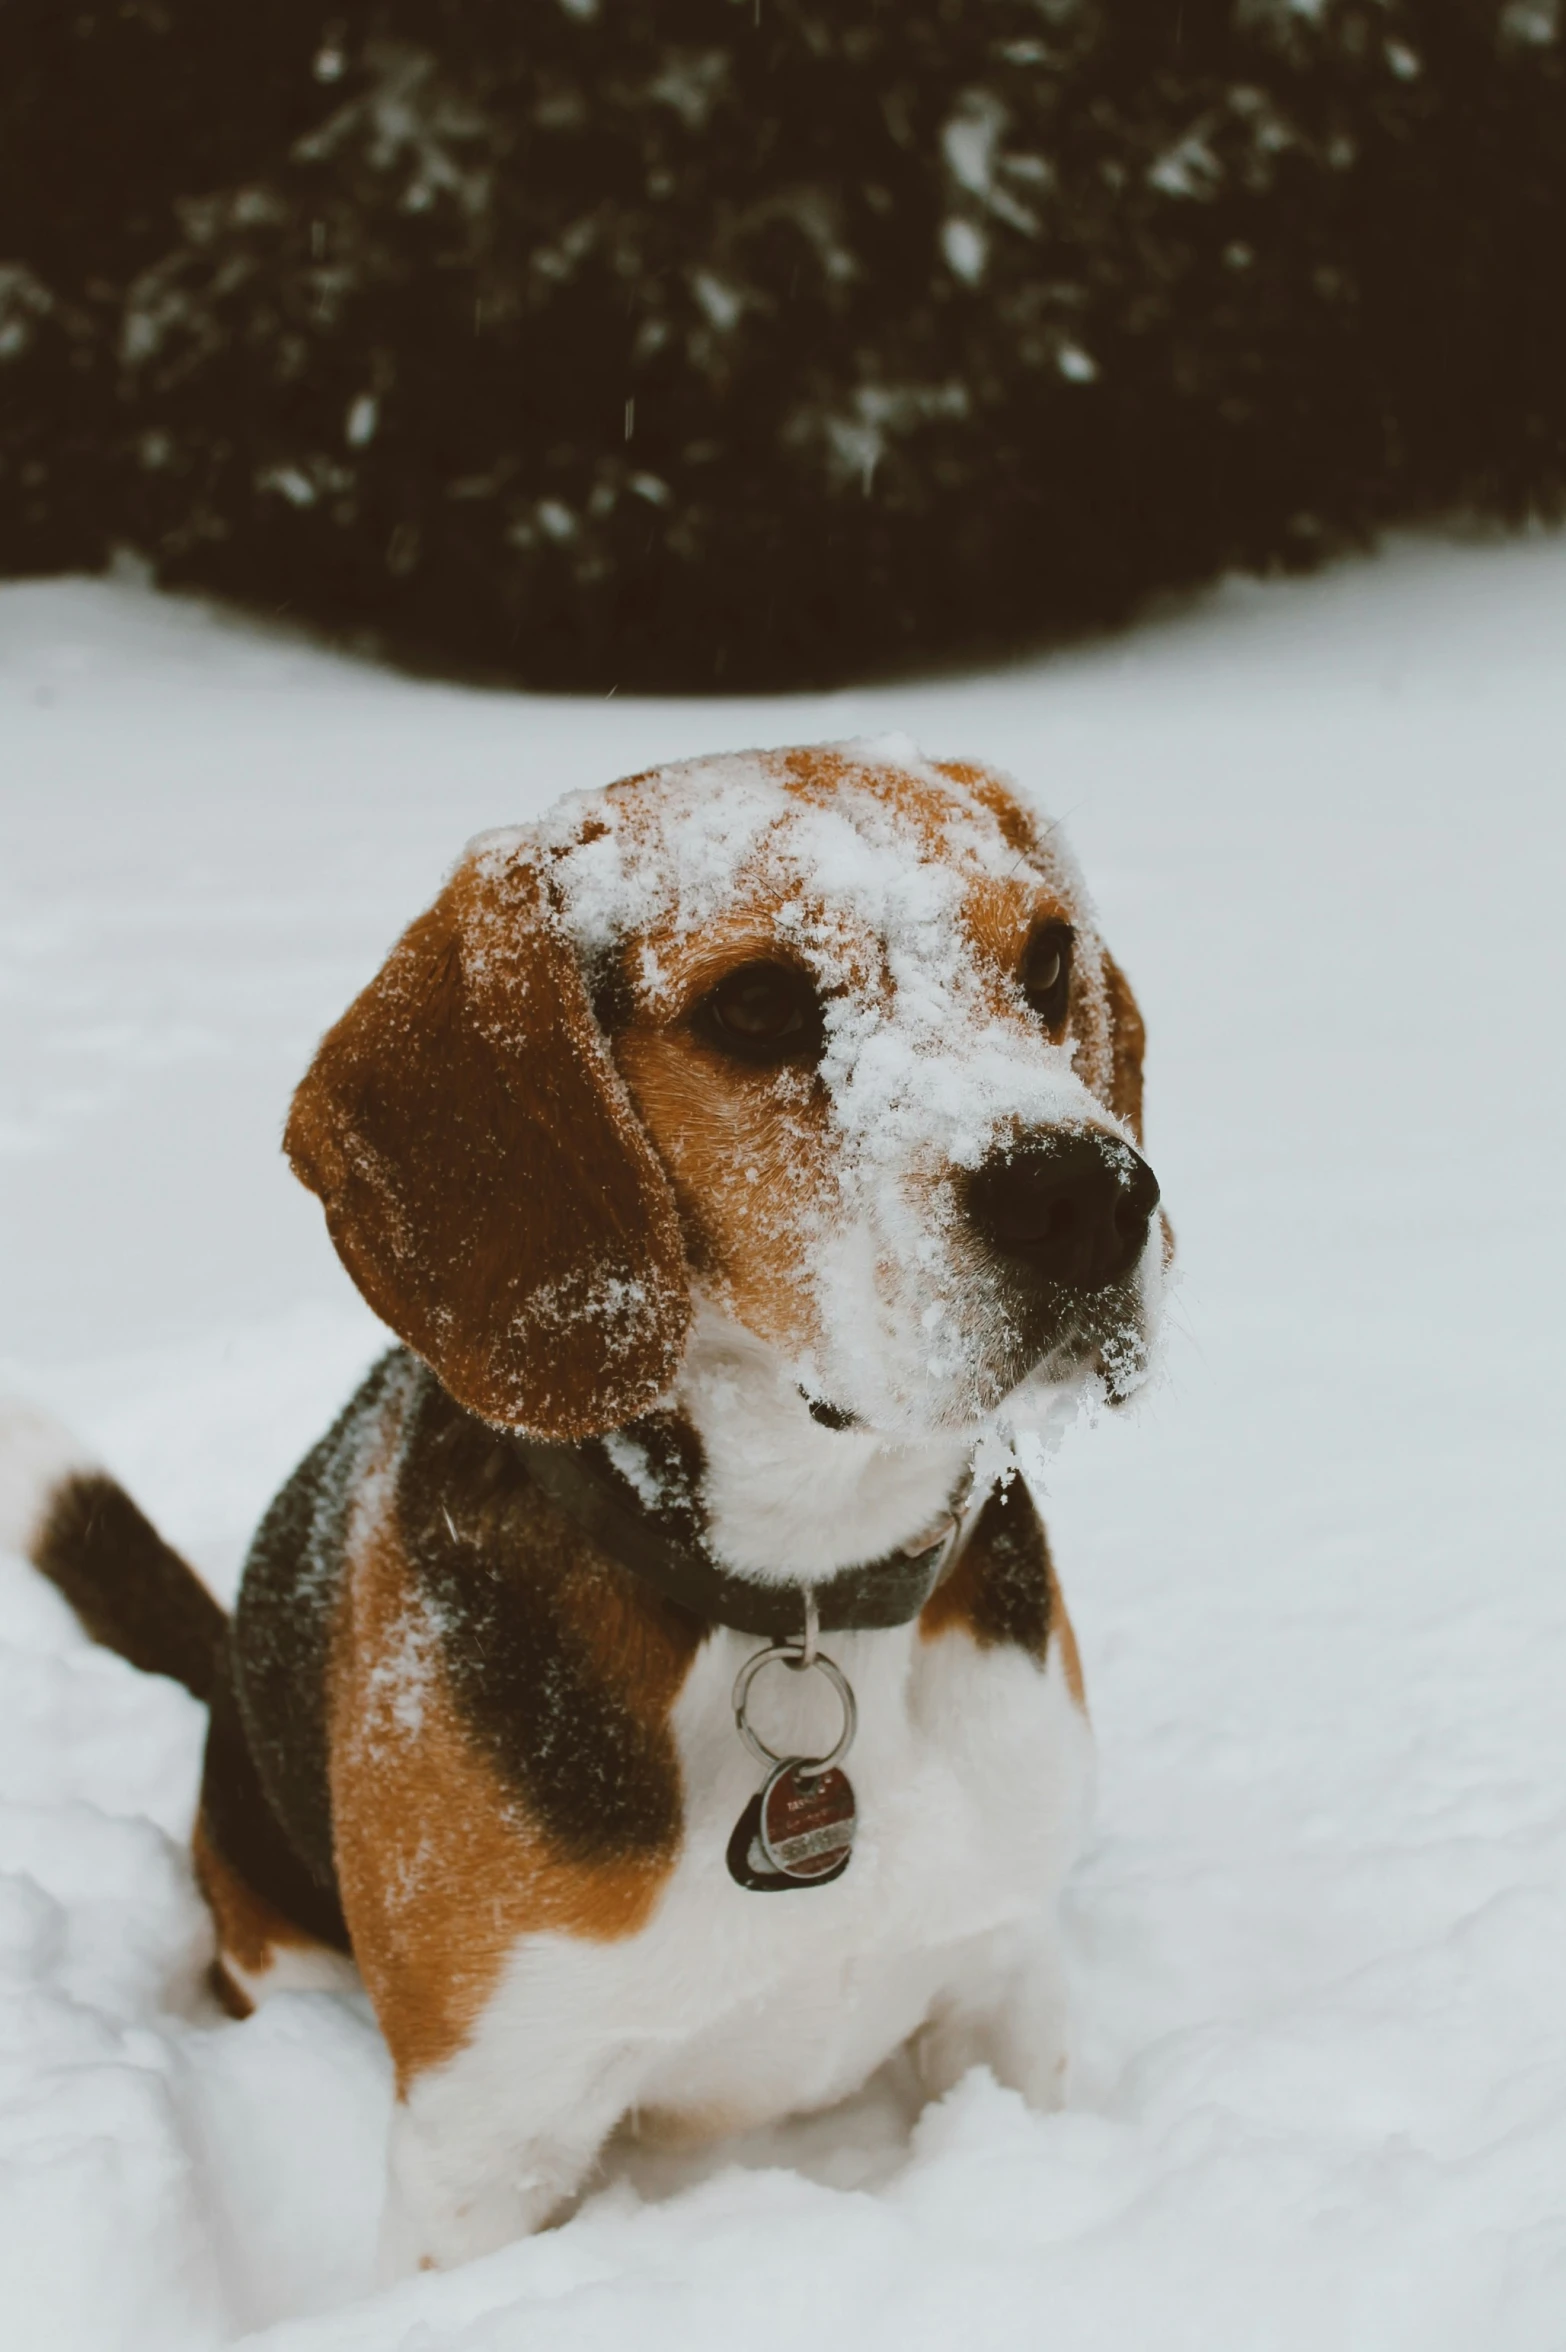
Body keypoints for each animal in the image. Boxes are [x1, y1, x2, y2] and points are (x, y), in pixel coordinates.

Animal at [12, 738, 1156, 2276]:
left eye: (1045, 961)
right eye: (754, 1006)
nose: (1090, 1199)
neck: (799, 1591)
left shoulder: (1006, 1981)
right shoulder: (483, 2148)